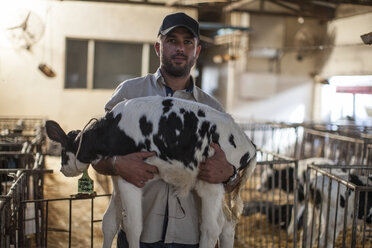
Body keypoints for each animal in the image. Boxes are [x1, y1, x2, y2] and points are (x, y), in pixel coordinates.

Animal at [45, 96, 258, 248]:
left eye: (62, 151)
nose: (62, 169)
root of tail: (249, 143)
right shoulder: (118, 177)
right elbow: (109, 222)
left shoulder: (131, 177)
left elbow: (133, 226)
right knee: (227, 224)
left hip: (211, 183)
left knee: (212, 228)